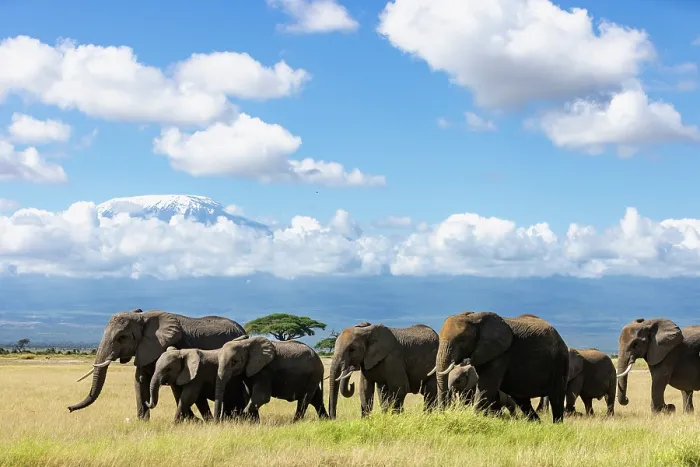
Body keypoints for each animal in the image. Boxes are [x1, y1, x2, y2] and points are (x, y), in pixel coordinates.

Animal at [67, 308, 249, 421]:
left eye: (122, 337)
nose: (69, 408)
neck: (142, 318)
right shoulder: (144, 348)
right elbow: (140, 380)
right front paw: (142, 422)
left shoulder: (176, 344)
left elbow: (177, 386)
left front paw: (189, 421)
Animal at [432, 311, 569, 423]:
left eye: (462, 341)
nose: (442, 414)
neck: (474, 318)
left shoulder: (501, 354)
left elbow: (487, 386)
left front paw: (474, 418)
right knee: (522, 400)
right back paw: (536, 423)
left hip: (559, 363)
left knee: (556, 397)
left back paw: (556, 425)